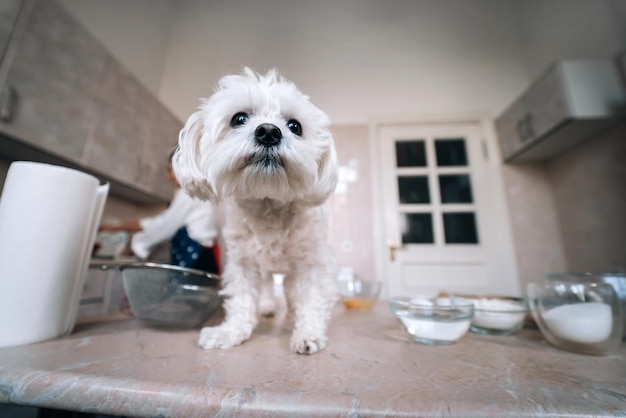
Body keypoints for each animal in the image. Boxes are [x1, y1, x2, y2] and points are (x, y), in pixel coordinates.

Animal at [173, 68, 338, 352]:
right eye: (239, 118)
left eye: (295, 126)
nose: (269, 131)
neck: (268, 202)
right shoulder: (243, 263)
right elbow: (241, 301)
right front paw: (230, 332)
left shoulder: (311, 262)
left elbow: (312, 299)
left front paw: (308, 334)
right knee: (268, 285)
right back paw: (268, 306)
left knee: (291, 289)